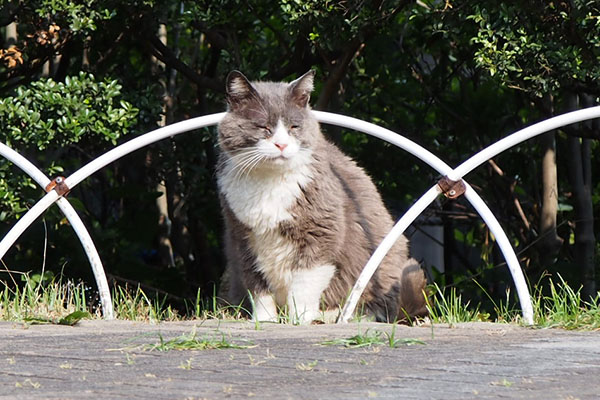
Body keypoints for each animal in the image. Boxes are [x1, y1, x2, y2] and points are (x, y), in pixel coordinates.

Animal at [216, 69, 426, 324]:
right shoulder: (242, 238)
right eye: (263, 127)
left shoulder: (322, 231)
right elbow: (257, 286)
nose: (281, 144)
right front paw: (264, 320)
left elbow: (304, 283)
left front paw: (300, 319)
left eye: (294, 127)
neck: (269, 183)